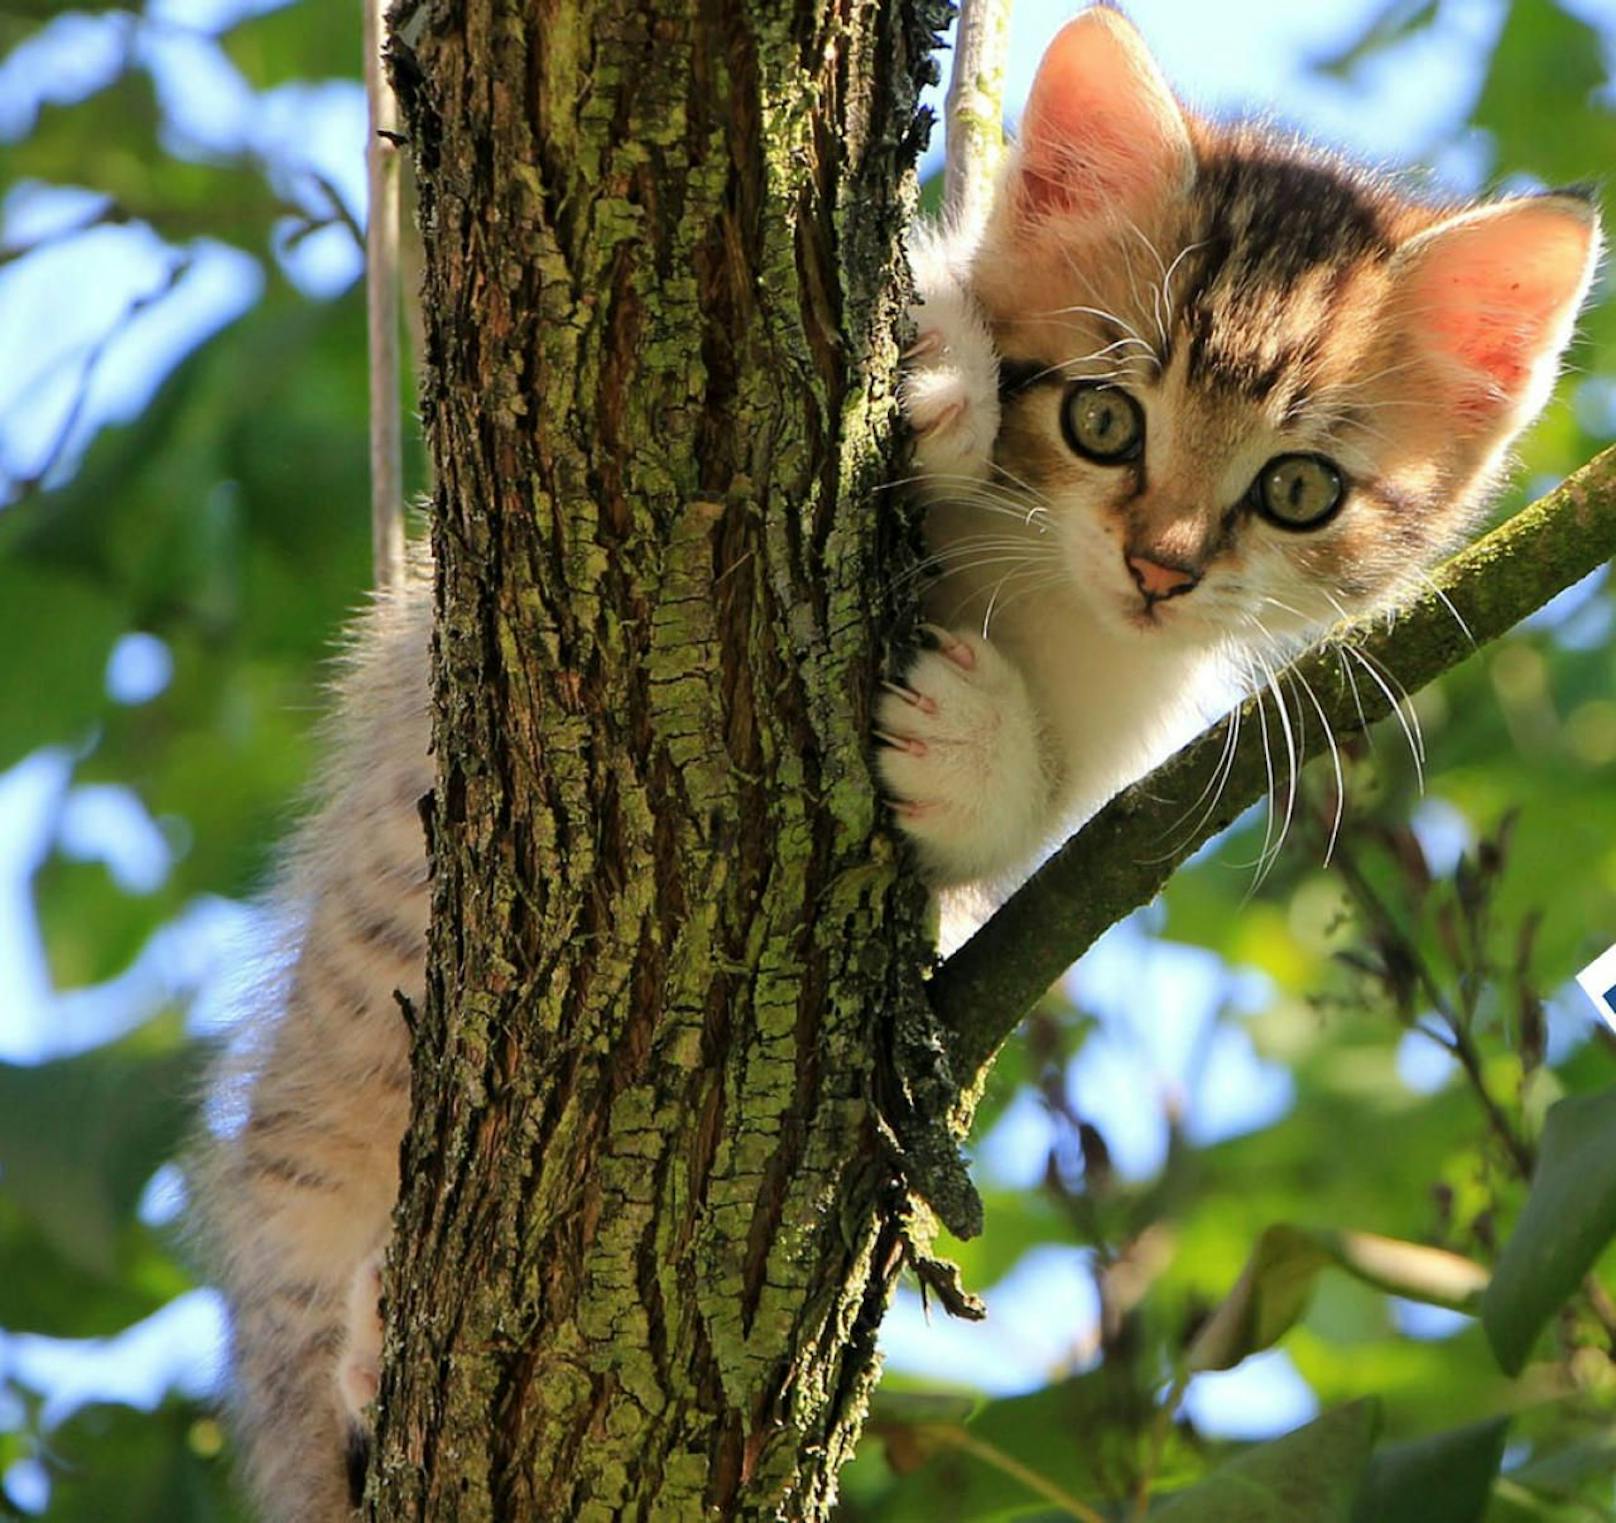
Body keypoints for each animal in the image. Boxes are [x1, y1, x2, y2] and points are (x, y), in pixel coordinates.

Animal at [195, 5, 1596, 1519]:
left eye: (1298, 489)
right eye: (1105, 415)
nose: (1161, 566)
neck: (1040, 581)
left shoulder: (1124, 738)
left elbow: (1029, 829)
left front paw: (970, 744)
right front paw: (940, 367)